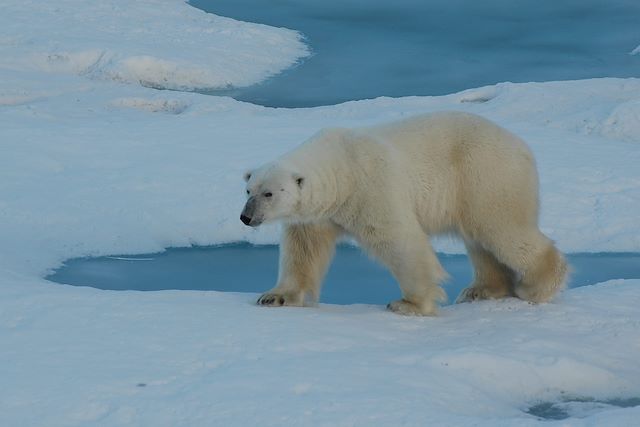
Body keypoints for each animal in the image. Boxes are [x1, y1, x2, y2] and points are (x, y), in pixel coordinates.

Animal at [239, 112, 564, 316]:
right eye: (248, 190)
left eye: (269, 194)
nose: (246, 217)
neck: (340, 168)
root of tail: (523, 147)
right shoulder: (317, 215)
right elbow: (303, 251)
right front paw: (274, 296)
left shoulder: (370, 187)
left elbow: (398, 239)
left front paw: (409, 304)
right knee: (480, 241)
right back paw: (481, 290)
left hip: (485, 175)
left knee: (502, 228)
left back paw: (537, 286)